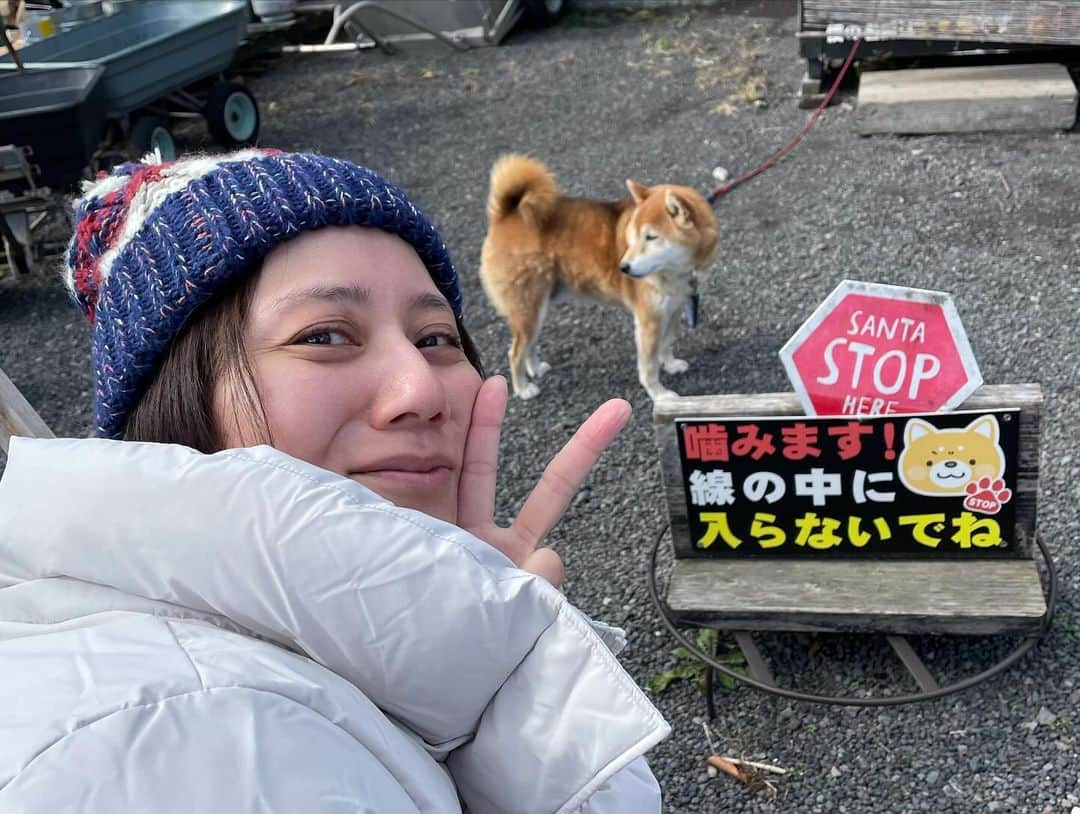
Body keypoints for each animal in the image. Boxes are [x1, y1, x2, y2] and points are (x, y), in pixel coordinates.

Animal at [479, 153, 717, 399]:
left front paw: (670, 364)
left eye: (651, 237)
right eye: (633, 236)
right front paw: (659, 394)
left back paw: (535, 368)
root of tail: (505, 215)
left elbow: (667, 343)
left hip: (537, 309)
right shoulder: (649, 320)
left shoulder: (674, 309)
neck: (677, 271)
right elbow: (649, 366)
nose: (623, 267)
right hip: (528, 308)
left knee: (529, 344)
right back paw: (523, 389)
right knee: (515, 351)